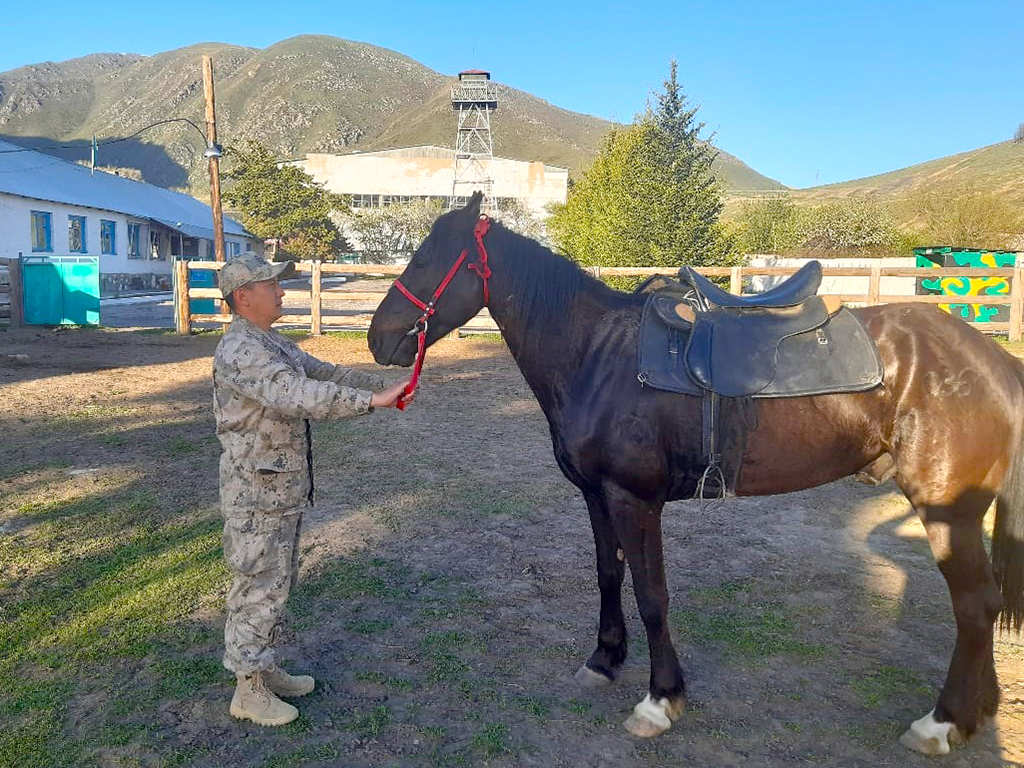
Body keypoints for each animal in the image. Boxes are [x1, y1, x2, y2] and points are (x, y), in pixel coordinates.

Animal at [370, 193, 1024, 757]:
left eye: (426, 259)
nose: (379, 339)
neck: (595, 357)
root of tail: (988, 357)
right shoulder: (596, 496)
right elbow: (608, 575)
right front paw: (605, 660)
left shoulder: (635, 501)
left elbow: (651, 594)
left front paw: (660, 700)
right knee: (984, 606)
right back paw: (976, 714)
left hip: (947, 511)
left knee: (975, 606)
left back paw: (941, 723)